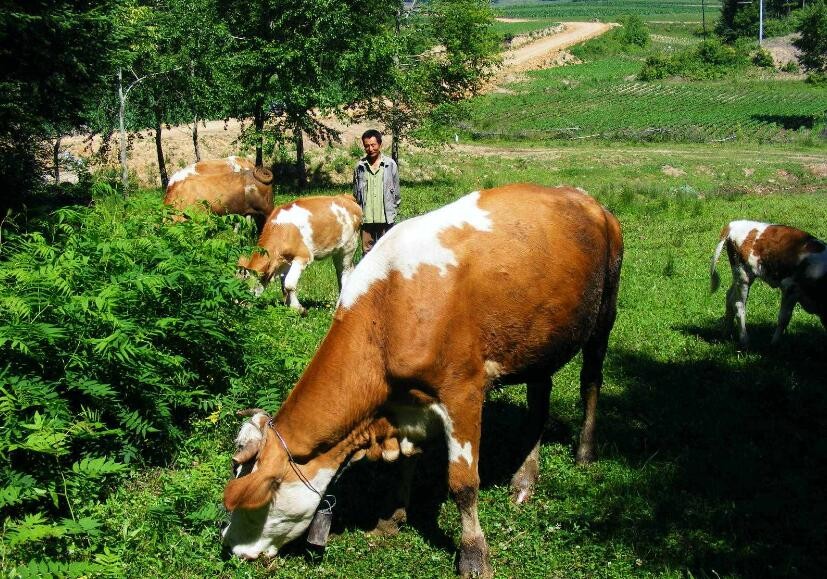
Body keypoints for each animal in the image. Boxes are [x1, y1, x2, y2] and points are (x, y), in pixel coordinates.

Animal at [220, 184, 620, 576]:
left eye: (252, 500)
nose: (231, 548)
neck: (389, 310)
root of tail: (586, 198)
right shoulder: (407, 403)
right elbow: (405, 463)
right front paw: (393, 516)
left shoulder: (463, 393)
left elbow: (463, 484)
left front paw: (473, 555)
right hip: (540, 341)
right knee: (539, 400)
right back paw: (524, 480)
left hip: (604, 313)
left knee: (590, 382)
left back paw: (584, 452)